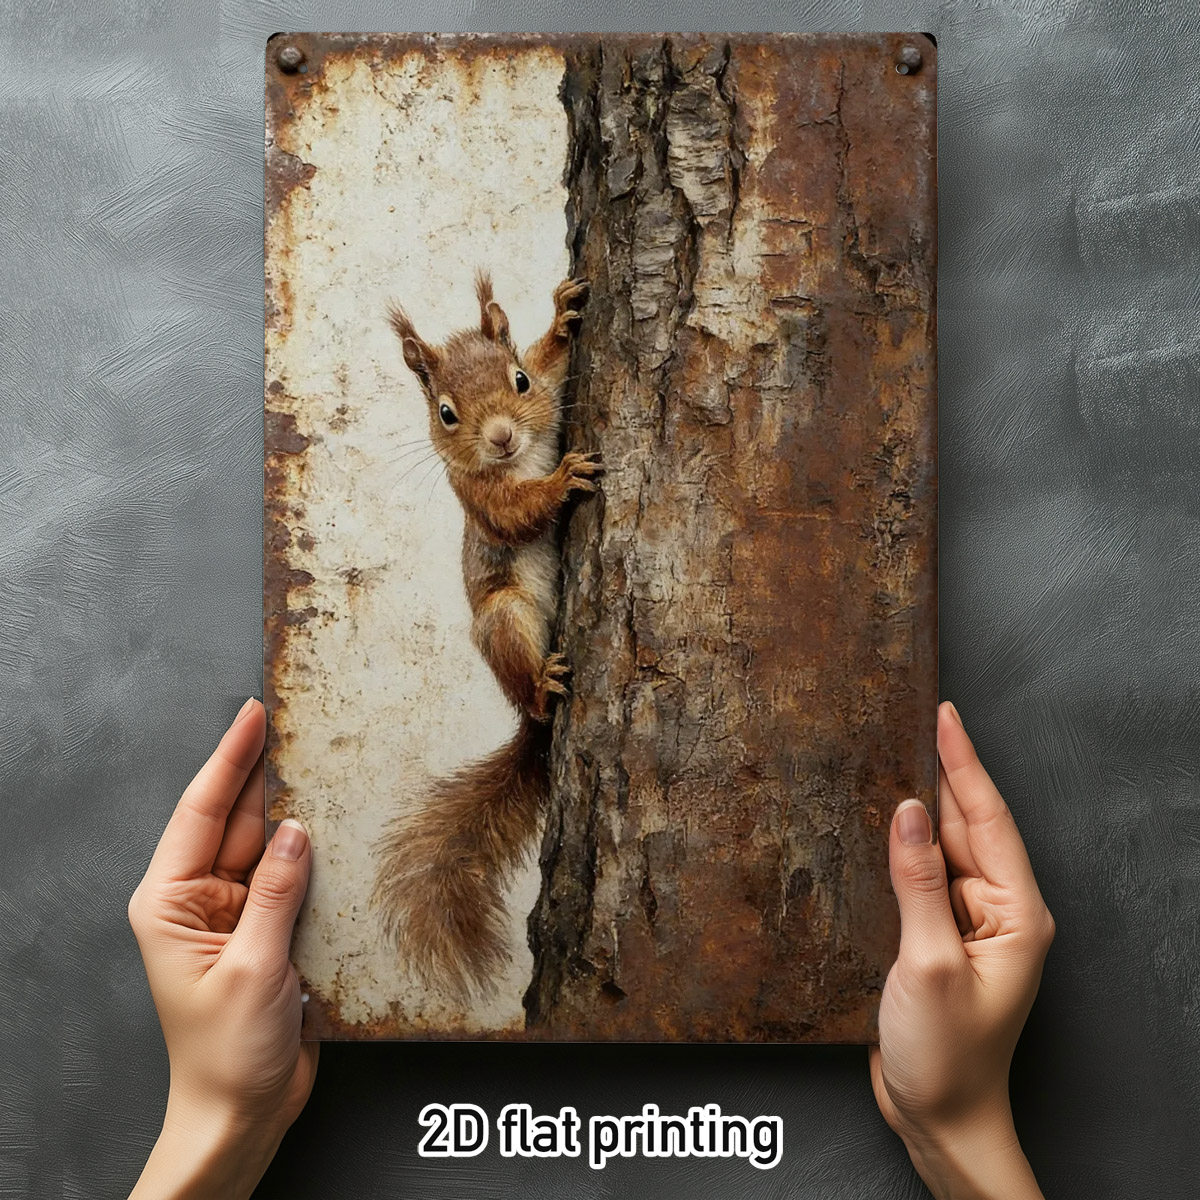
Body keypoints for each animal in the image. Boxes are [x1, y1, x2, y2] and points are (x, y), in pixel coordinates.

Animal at [371, 271, 600, 1000]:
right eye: (446, 413)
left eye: (518, 380)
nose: (500, 437)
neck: (519, 461)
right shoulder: (479, 497)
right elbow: (518, 511)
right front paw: (561, 481)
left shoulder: (548, 404)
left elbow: (558, 369)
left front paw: (561, 317)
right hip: (504, 619)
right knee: (529, 687)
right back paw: (544, 686)